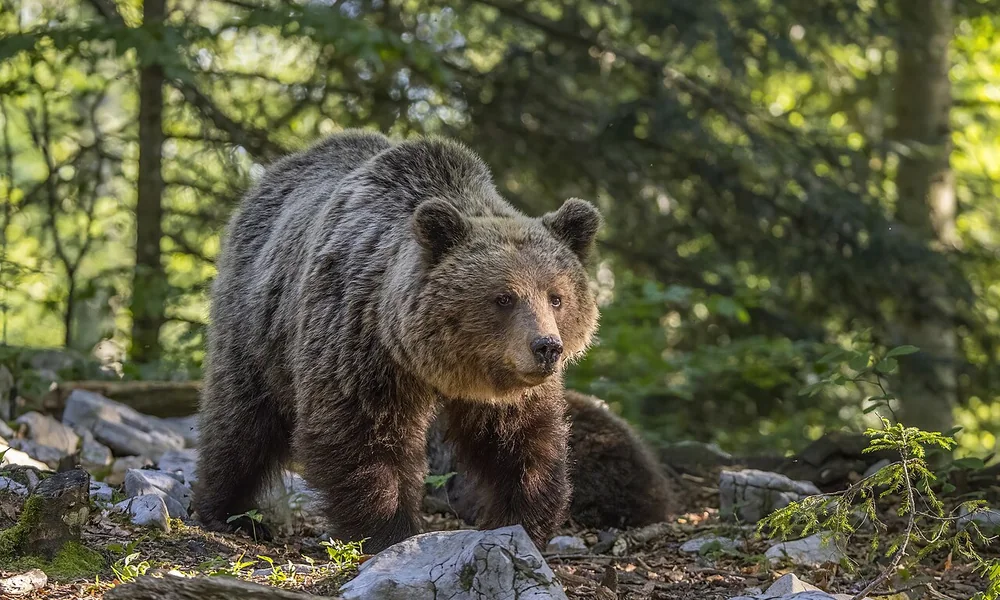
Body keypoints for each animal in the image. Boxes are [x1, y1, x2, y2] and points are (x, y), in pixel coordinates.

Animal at [194, 129, 602, 553]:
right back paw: (230, 512)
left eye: (556, 297)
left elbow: (521, 443)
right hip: (257, 321)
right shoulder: (359, 342)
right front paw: (388, 530)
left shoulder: (506, 386)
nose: (546, 347)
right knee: (242, 419)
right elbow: (361, 435)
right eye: (504, 297)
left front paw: (521, 521)